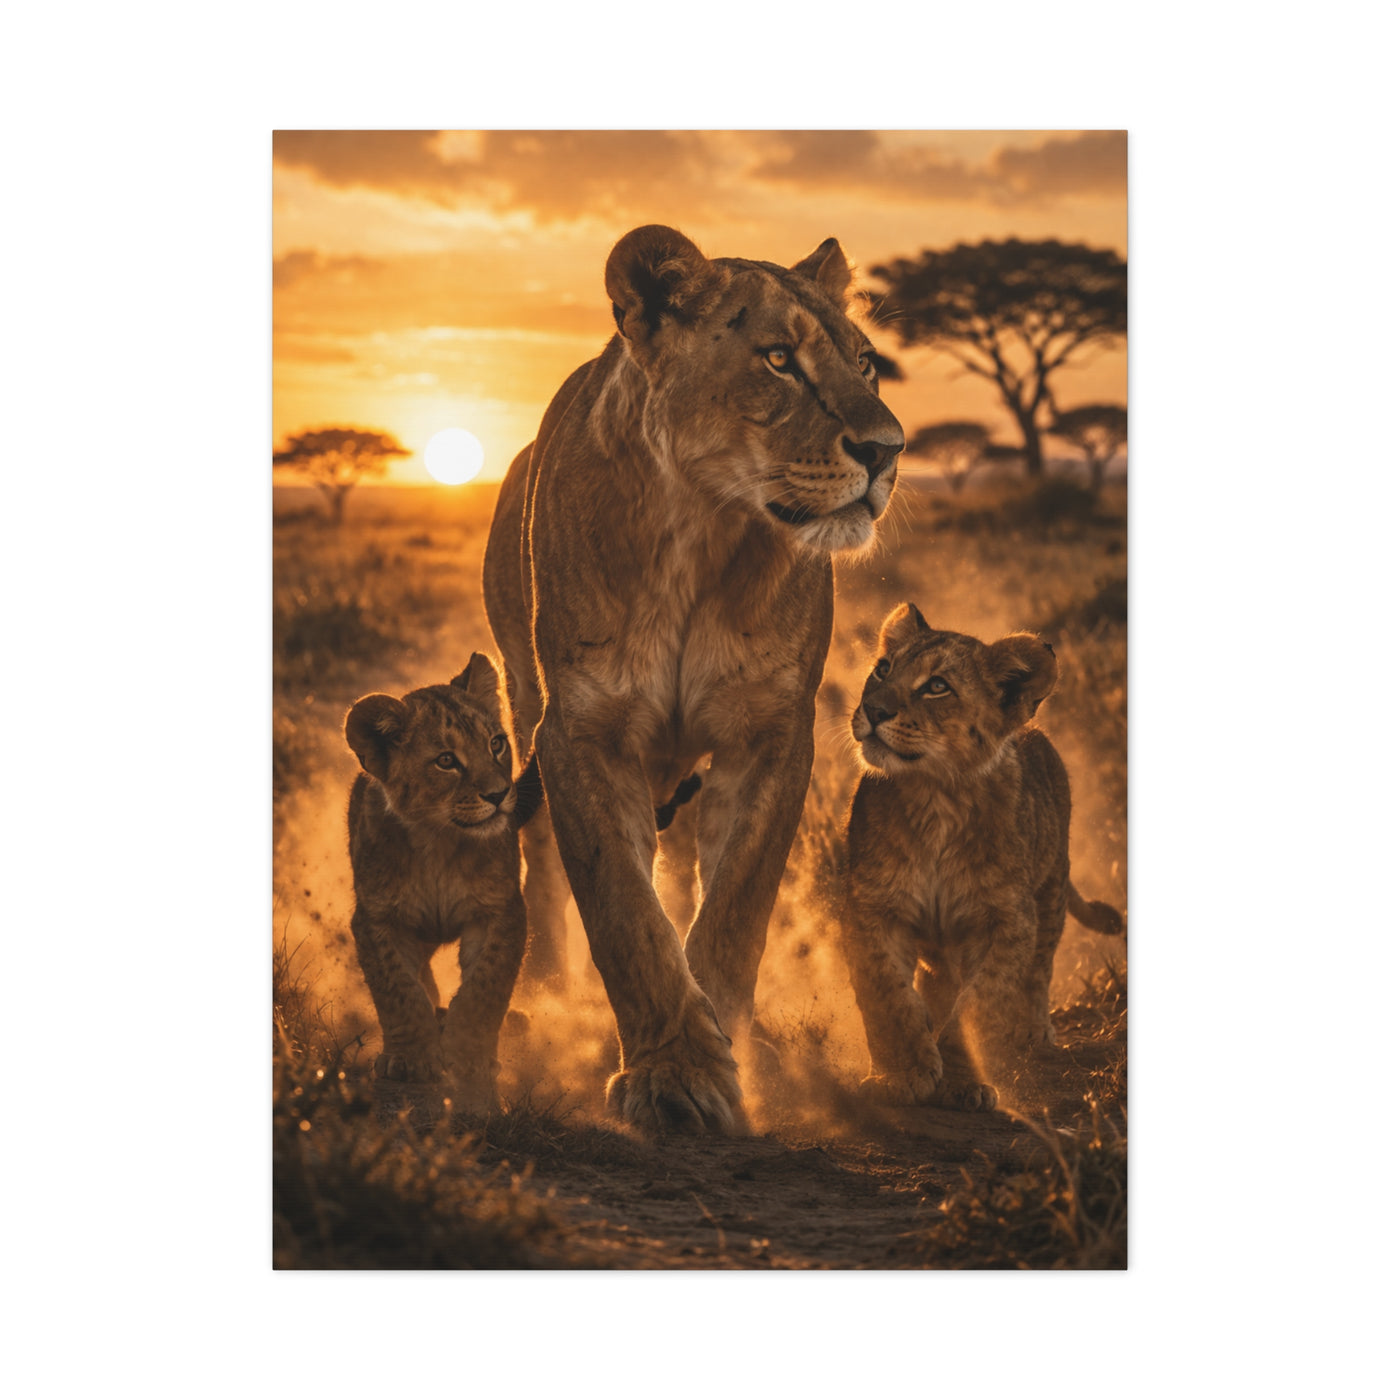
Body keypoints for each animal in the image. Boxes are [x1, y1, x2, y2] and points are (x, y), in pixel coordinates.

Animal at [344, 653, 542, 1113]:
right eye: (447, 761)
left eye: (496, 744)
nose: (499, 794)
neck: (439, 842)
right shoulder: (376, 918)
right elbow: (398, 987)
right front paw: (411, 1059)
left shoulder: (501, 911)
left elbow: (484, 988)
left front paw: (468, 1056)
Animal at [482, 224, 904, 1133]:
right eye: (779, 359)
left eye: (868, 364)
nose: (889, 451)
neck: (703, 530)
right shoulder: (581, 730)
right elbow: (622, 910)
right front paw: (674, 1076)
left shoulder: (771, 735)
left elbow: (734, 911)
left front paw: (727, 1056)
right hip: (523, 696)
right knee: (541, 859)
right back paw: (542, 999)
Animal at [840, 604, 1124, 1111]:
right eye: (883, 669)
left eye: (937, 686)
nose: (873, 710)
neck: (935, 799)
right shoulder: (873, 907)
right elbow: (886, 995)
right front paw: (904, 1073)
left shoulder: (1008, 919)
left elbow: (980, 1004)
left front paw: (964, 1082)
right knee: (936, 982)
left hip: (1051, 892)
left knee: (1039, 970)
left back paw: (1033, 1032)